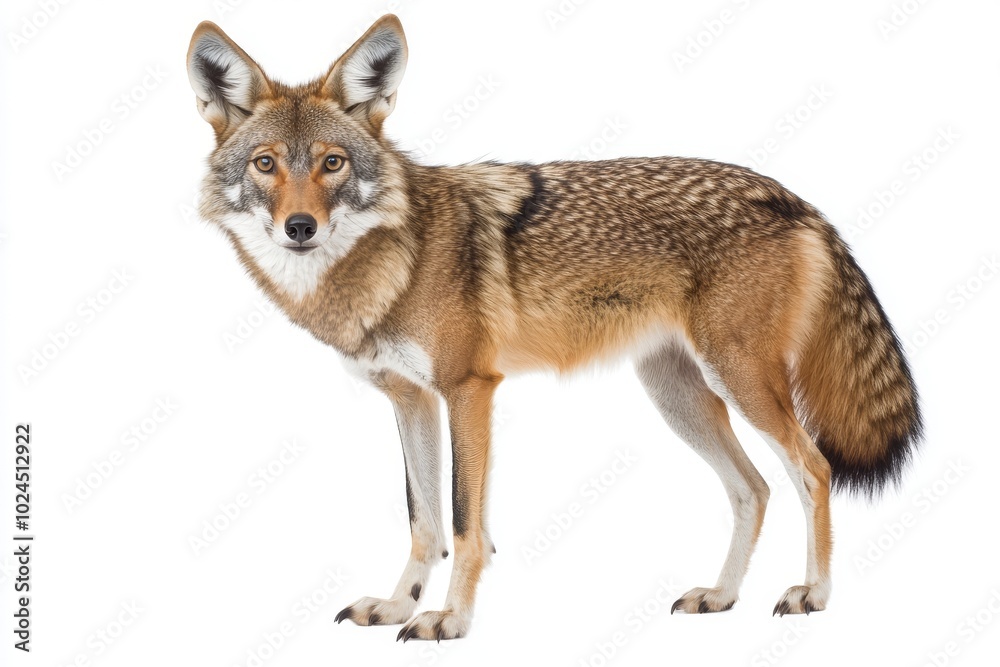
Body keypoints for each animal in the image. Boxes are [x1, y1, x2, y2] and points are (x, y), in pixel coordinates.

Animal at [187, 14, 921, 640]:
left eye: (332, 163)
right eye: (266, 164)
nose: (299, 227)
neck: (394, 259)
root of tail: (795, 198)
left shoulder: (469, 389)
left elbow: (465, 522)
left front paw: (450, 620)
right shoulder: (411, 398)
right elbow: (424, 521)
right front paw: (398, 604)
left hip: (739, 383)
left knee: (814, 468)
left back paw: (813, 593)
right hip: (680, 396)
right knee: (754, 487)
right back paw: (721, 595)